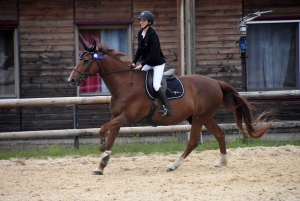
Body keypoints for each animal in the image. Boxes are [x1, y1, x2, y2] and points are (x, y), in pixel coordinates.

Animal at [68, 41, 272, 175]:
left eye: (86, 61)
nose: (71, 79)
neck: (125, 84)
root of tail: (216, 83)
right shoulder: (117, 119)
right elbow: (109, 138)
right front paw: (101, 165)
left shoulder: (127, 118)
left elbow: (102, 130)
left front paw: (103, 152)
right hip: (203, 117)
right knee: (220, 135)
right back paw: (222, 162)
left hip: (200, 117)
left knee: (193, 141)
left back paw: (173, 165)